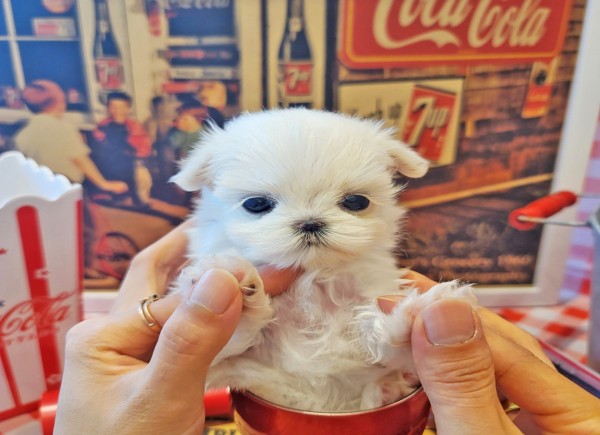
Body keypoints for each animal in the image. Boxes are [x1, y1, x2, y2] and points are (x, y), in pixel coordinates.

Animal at [171, 108, 475, 412]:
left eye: (356, 202)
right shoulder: (224, 364)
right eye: (256, 204)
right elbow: (229, 341)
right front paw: (233, 290)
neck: (312, 278)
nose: (310, 223)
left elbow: (386, 346)